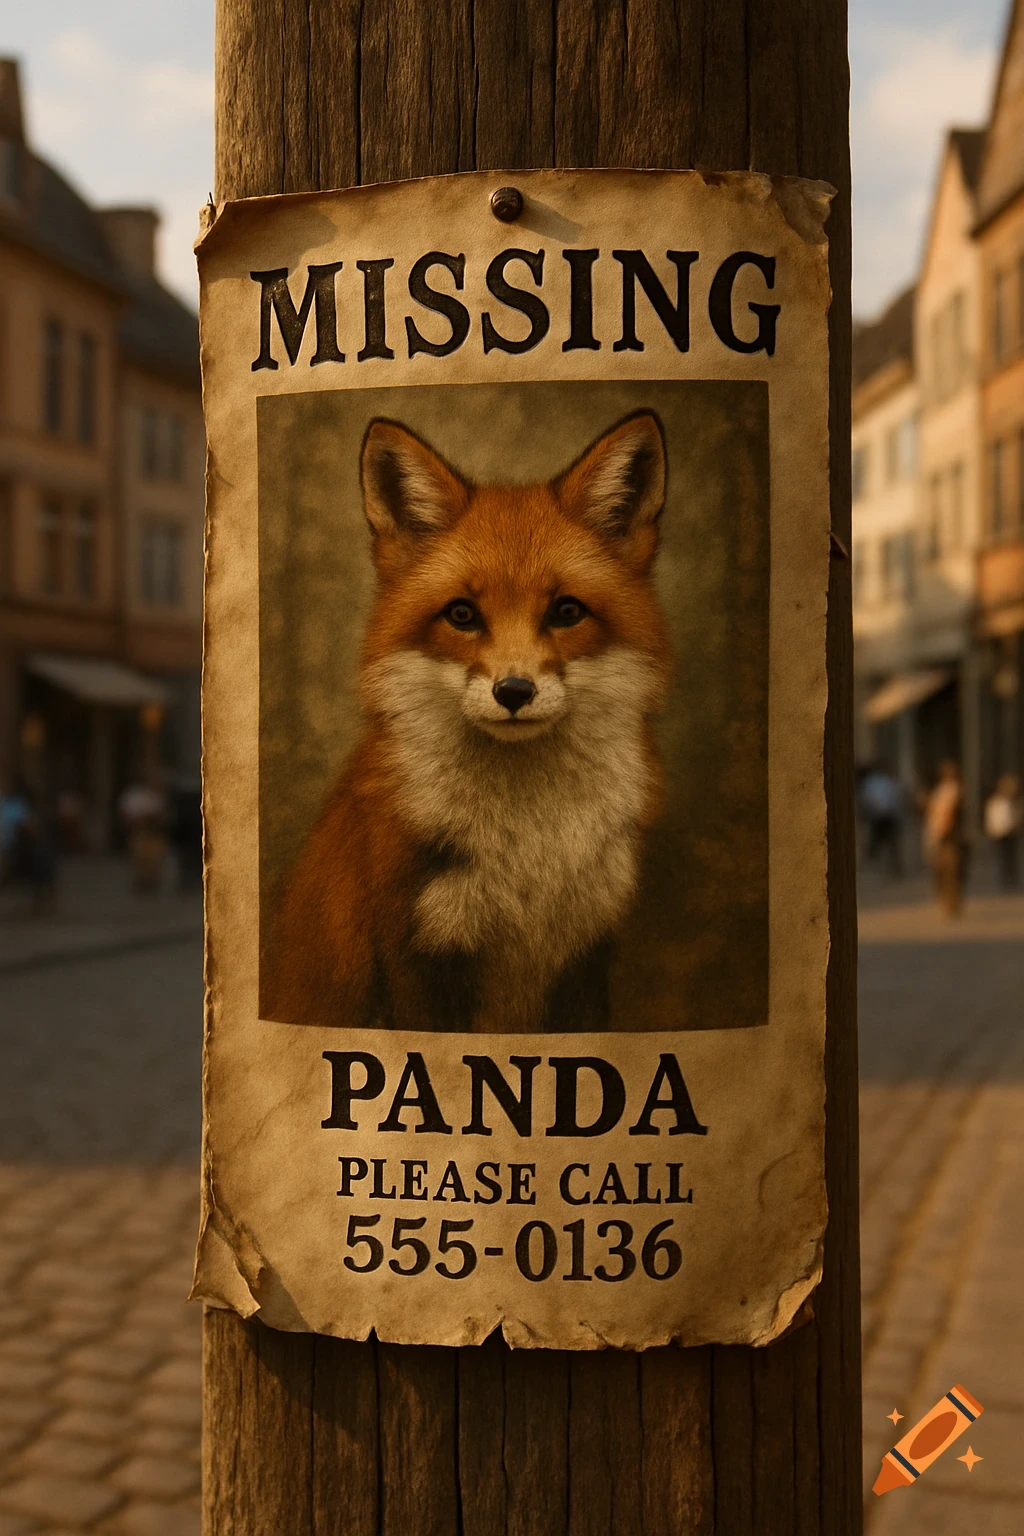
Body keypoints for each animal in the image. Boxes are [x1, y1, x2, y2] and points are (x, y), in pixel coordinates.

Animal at [263, 410, 672, 1033]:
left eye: (566, 611)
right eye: (462, 614)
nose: (514, 691)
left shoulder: (587, 958)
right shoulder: (416, 957)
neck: (528, 850)